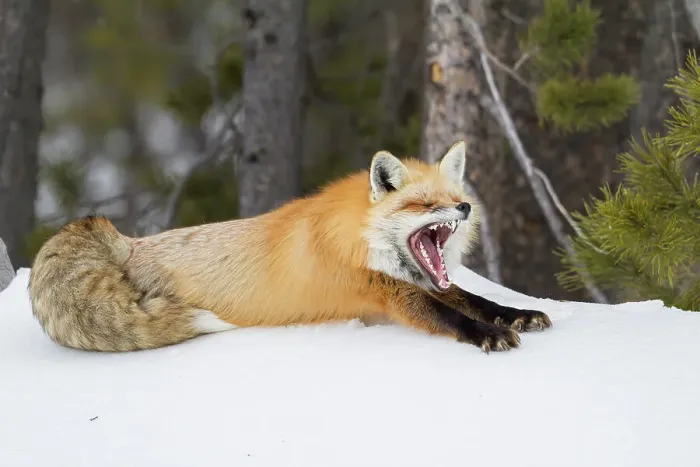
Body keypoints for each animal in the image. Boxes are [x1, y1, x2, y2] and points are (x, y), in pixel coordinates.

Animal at [28, 141, 552, 353]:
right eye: (425, 204)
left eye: (456, 197)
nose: (463, 208)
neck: (357, 240)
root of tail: (127, 244)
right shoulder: (388, 293)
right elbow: (452, 315)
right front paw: (486, 335)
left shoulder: (415, 282)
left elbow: (477, 299)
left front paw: (516, 315)